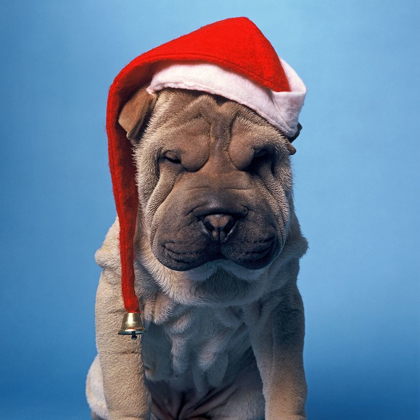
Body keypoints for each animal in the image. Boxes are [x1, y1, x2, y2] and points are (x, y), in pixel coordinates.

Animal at [86, 16, 308, 420]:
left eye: (260, 159)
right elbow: (127, 390)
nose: (219, 218)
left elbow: (287, 386)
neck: (210, 278)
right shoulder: (117, 298)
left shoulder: (280, 310)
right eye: (172, 159)